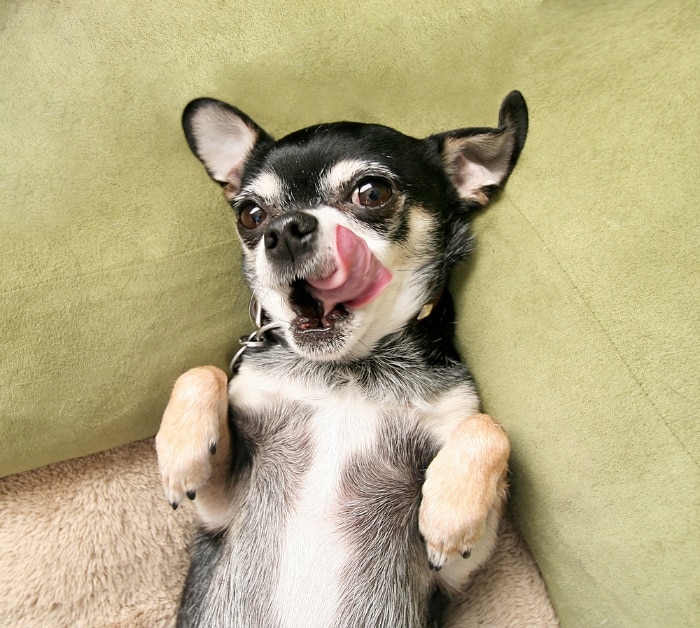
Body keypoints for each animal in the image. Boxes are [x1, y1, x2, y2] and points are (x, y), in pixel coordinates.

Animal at [156, 91, 528, 624]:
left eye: (372, 193)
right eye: (250, 215)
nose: (284, 230)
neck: (349, 369)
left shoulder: (452, 570)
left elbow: (488, 427)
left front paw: (450, 512)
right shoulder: (220, 506)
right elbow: (202, 370)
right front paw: (180, 453)